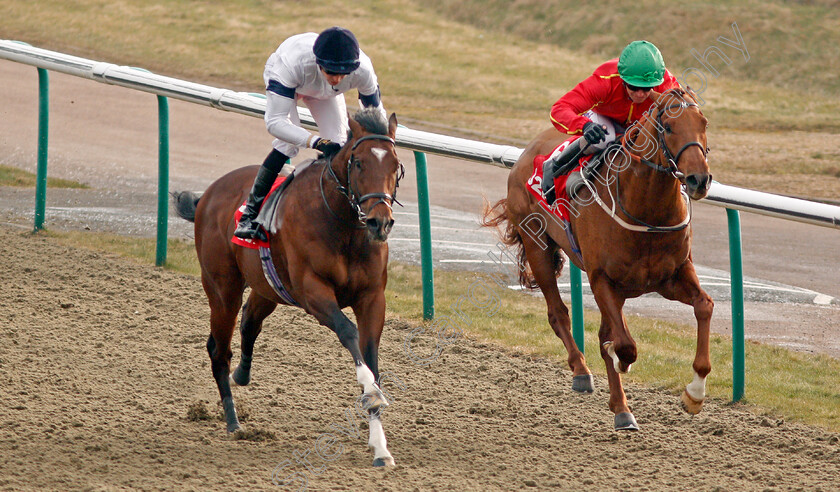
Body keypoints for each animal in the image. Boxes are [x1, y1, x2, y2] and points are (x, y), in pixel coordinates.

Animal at [174, 109, 404, 468]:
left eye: (396, 165)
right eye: (359, 163)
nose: (380, 222)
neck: (344, 225)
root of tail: (207, 195)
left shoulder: (372, 299)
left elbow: (370, 354)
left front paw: (380, 447)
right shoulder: (314, 292)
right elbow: (348, 332)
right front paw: (370, 392)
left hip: (267, 287)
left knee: (250, 320)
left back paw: (241, 375)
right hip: (222, 289)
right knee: (218, 349)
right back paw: (233, 422)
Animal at [482, 89, 712, 430]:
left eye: (703, 123)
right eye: (669, 127)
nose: (699, 180)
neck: (646, 211)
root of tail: (527, 152)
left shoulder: (672, 275)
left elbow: (703, 306)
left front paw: (694, 393)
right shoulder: (602, 278)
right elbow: (623, 345)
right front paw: (619, 361)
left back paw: (622, 408)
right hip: (538, 248)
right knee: (558, 314)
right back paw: (583, 374)